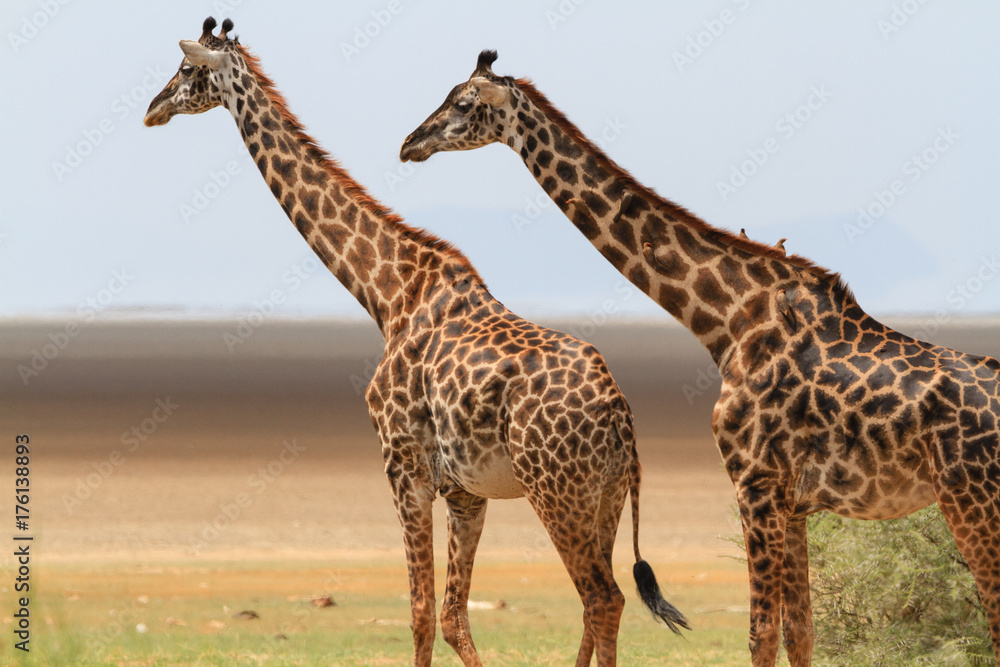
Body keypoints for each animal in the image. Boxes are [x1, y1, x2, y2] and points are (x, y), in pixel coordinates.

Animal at [144, 20, 687, 667]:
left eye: (185, 71)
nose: (151, 109)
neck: (386, 293)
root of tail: (619, 415)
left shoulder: (403, 467)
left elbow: (423, 613)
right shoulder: (464, 491)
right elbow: (453, 616)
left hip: (557, 492)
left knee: (602, 599)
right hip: (603, 498)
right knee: (596, 605)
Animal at [399, 50, 1000, 666]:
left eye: (463, 103)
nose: (409, 144)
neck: (727, 321)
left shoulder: (754, 484)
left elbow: (761, 633)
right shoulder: (792, 501)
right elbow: (799, 630)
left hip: (972, 502)